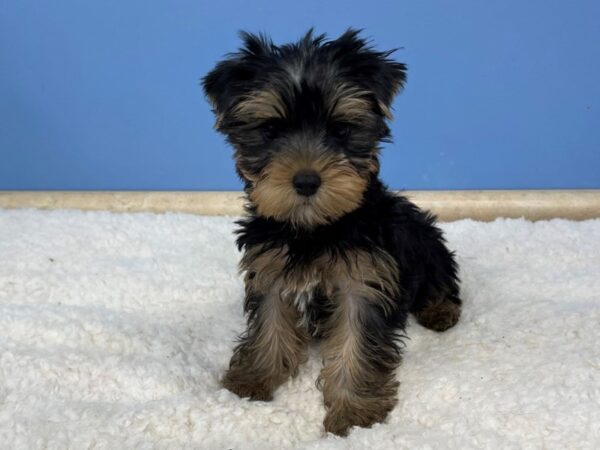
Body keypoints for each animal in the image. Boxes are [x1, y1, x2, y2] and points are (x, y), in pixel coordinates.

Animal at [204, 29, 462, 436]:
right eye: (270, 131)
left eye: (340, 129)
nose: (307, 180)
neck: (314, 229)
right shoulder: (270, 270)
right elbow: (270, 325)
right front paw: (252, 380)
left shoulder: (364, 281)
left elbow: (355, 342)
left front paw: (353, 414)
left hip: (425, 242)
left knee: (440, 277)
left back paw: (440, 311)